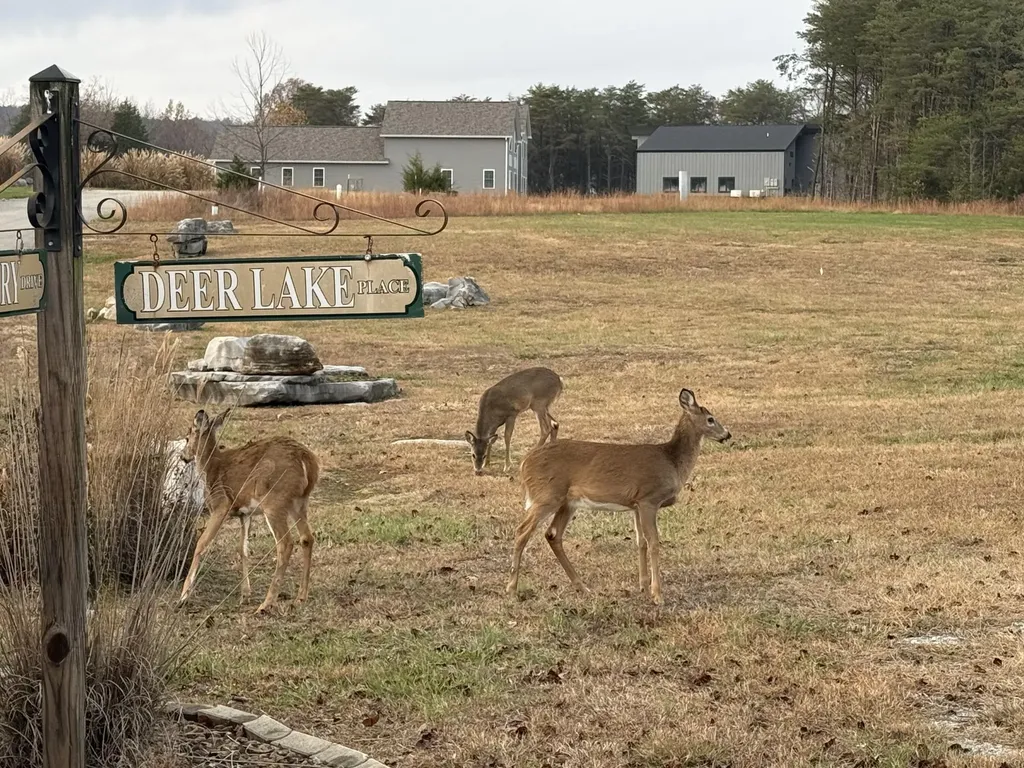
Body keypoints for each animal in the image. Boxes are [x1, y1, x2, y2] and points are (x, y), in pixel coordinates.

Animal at [178, 408, 319, 615]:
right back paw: (301, 597)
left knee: (285, 543)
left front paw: (183, 596)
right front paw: (245, 594)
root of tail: (306, 460)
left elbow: (201, 543)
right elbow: (243, 549)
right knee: (307, 538)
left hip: (274, 500)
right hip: (299, 502)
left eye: (187, 438)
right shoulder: (245, 513)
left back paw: (266, 604)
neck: (211, 467)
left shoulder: (222, 505)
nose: (183, 456)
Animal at [506, 388, 731, 605]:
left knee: (552, 534)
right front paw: (657, 595)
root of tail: (524, 463)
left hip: (567, 502)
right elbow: (654, 542)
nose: (727, 434)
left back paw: (582, 587)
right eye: (710, 419)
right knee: (522, 531)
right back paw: (512, 588)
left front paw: (643, 587)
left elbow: (641, 542)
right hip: (547, 495)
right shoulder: (649, 499)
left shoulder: (636, 504)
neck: (672, 461)